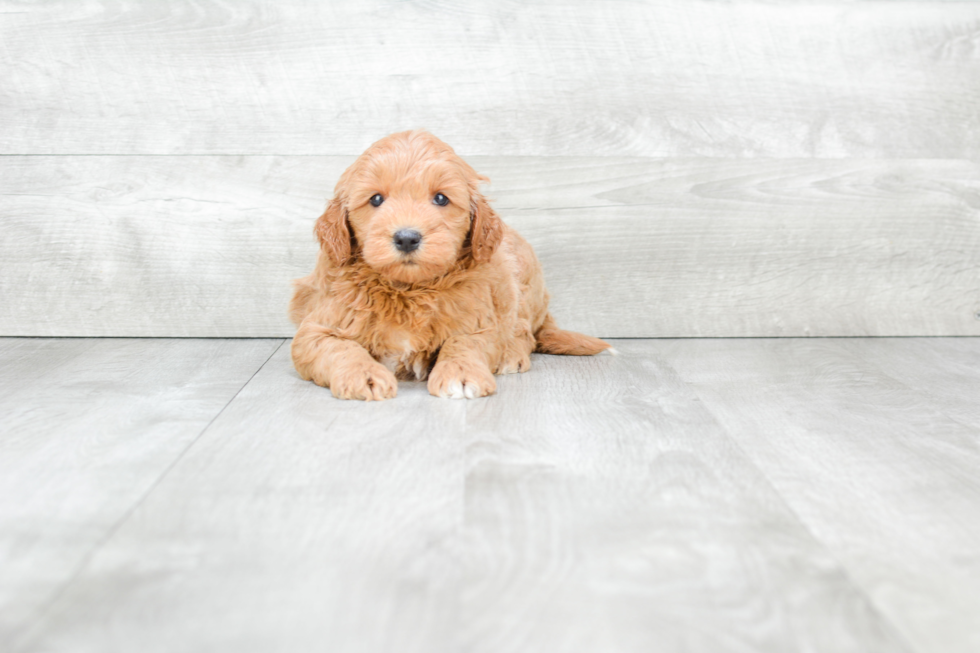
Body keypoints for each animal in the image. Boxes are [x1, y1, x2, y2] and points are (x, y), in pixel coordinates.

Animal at [288, 130, 612, 400]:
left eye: (441, 198)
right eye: (376, 199)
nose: (407, 238)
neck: (409, 290)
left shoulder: (481, 321)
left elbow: (463, 343)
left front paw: (461, 374)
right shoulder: (315, 328)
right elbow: (339, 347)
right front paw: (363, 375)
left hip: (523, 280)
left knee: (524, 331)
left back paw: (511, 356)